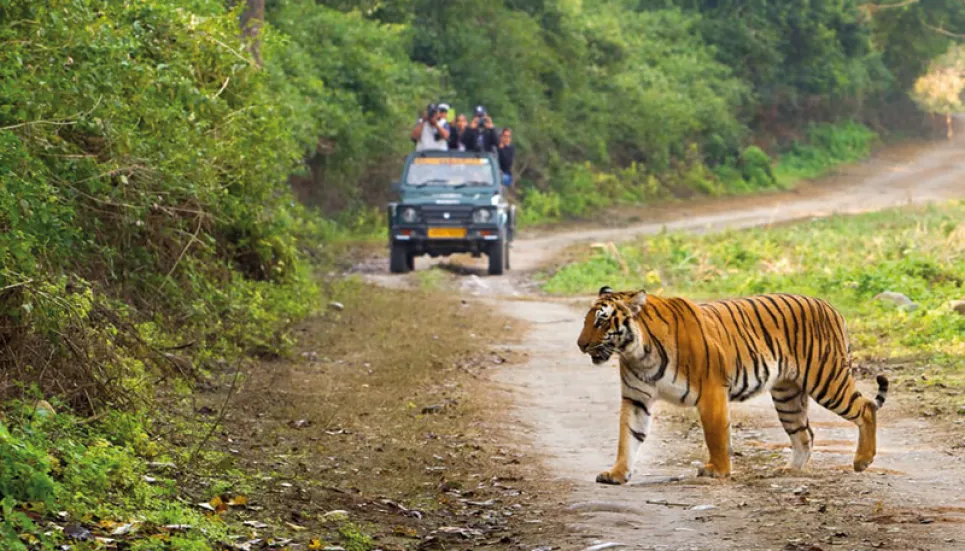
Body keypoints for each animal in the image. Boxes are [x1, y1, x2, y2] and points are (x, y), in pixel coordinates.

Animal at [572, 286, 888, 486]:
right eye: (587, 320)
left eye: (601, 321)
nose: (580, 345)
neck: (637, 352)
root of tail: (830, 306)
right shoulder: (636, 399)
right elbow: (628, 437)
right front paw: (616, 473)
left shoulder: (711, 390)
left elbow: (715, 435)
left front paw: (718, 470)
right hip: (787, 395)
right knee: (805, 433)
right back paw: (790, 471)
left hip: (826, 379)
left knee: (866, 408)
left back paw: (862, 461)